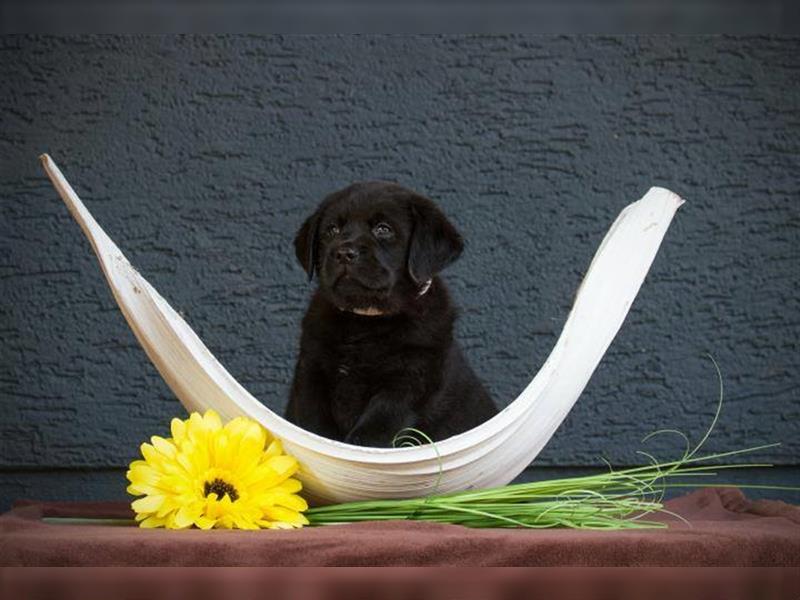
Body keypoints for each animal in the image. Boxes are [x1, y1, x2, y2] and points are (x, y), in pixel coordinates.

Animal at [284, 180, 496, 448]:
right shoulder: (312, 372)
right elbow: (314, 428)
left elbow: (369, 434)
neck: (364, 322)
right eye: (331, 230)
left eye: (383, 229)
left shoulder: (407, 381)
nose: (343, 253)